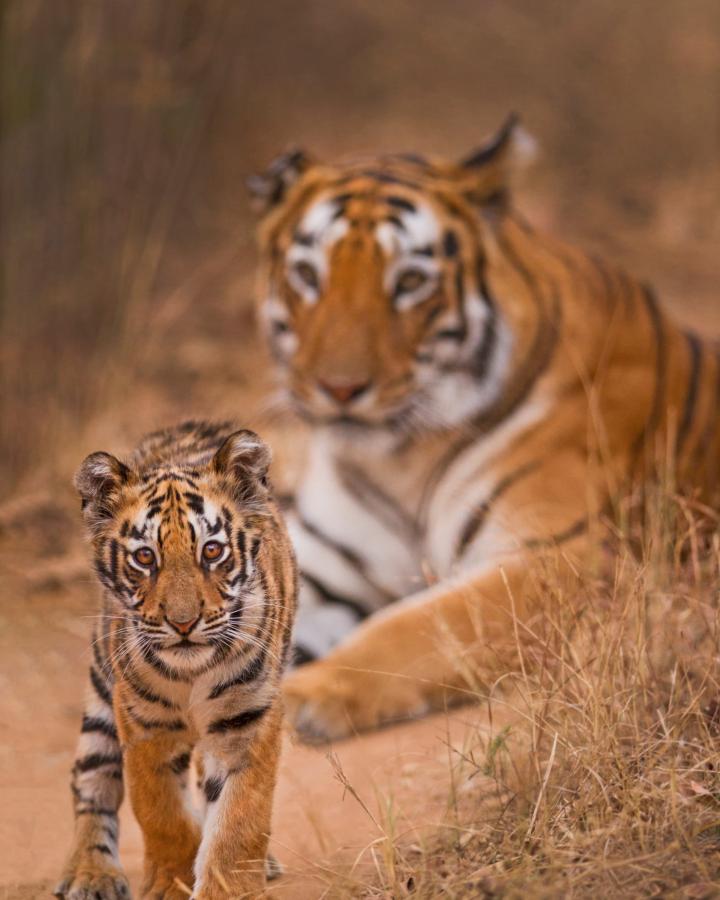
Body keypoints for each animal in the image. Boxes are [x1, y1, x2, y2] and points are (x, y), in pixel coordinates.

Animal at [249, 116, 720, 740]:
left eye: (410, 281)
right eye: (307, 275)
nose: (340, 389)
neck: (399, 459)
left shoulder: (561, 559)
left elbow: (419, 627)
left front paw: (309, 694)